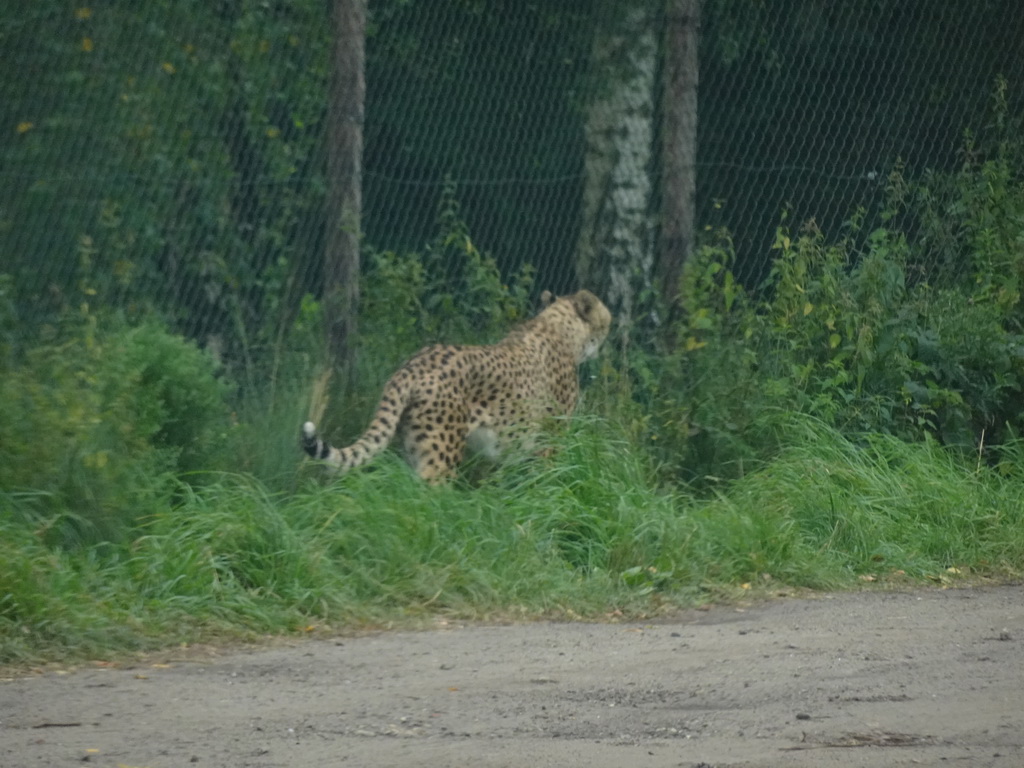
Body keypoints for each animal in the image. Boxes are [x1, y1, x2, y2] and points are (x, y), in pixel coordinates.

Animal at [299, 288, 610, 481]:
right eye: (606, 320)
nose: (611, 325)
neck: (557, 327)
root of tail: (415, 363)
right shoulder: (550, 440)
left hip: (416, 446)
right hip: (441, 454)